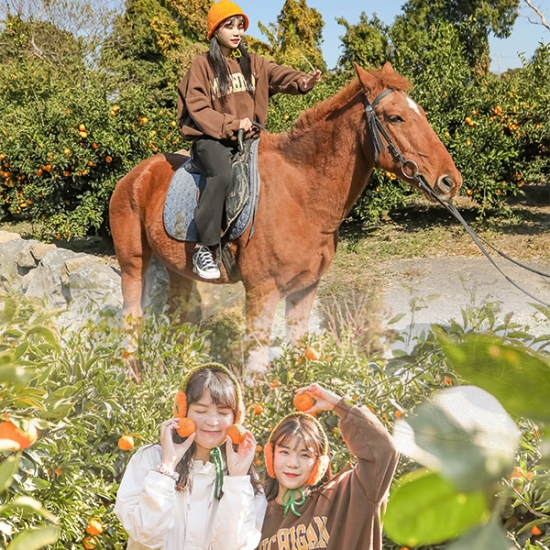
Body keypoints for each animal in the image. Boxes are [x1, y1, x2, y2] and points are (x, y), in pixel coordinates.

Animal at [110, 64, 464, 376]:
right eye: (395, 117)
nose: (450, 181)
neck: (301, 195)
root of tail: (134, 176)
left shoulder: (305, 289)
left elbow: (298, 352)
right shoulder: (262, 292)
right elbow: (256, 369)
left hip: (178, 271)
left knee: (178, 319)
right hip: (133, 264)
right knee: (132, 318)